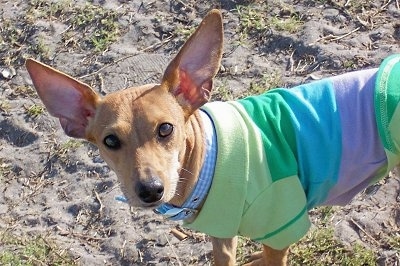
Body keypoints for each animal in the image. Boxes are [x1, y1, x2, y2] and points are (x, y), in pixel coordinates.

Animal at [24, 8, 400, 266]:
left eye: (166, 129)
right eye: (110, 141)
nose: (150, 190)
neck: (208, 158)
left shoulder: (282, 229)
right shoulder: (222, 233)